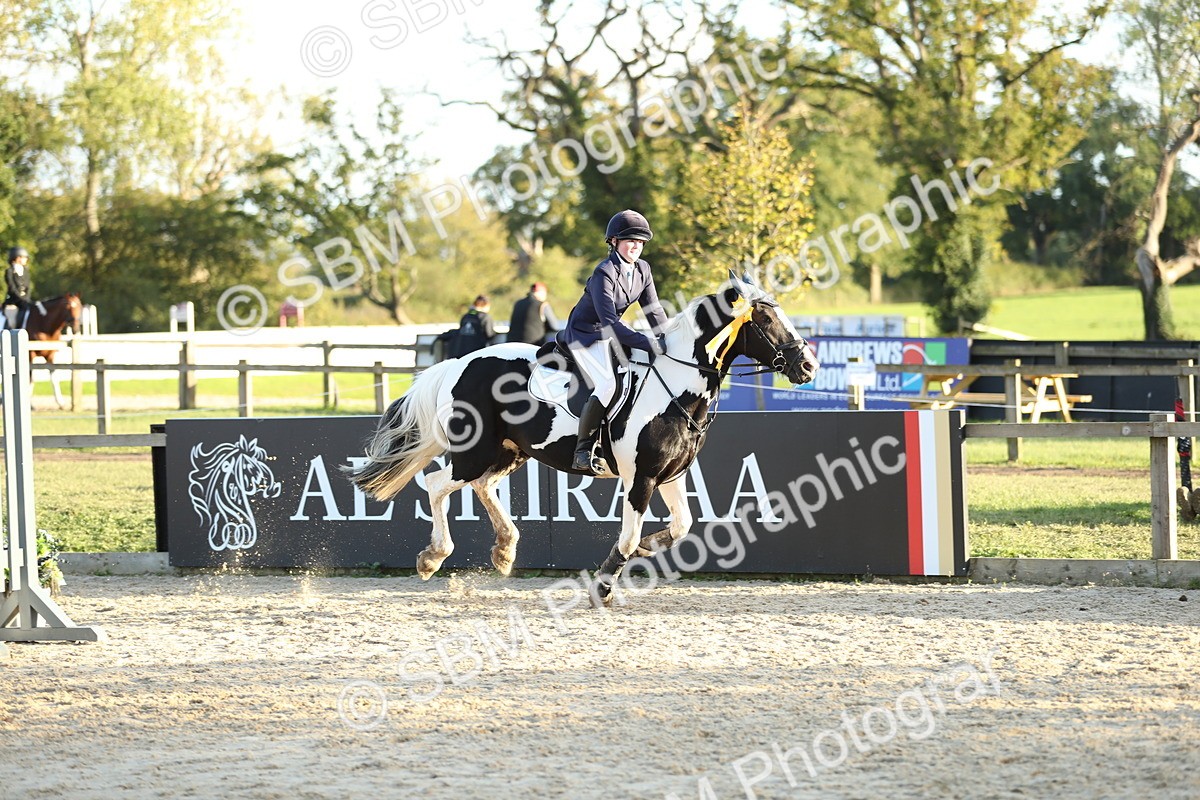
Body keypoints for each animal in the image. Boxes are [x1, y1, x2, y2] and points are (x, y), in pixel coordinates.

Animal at [347, 271, 818, 605]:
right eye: (766, 318)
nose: (808, 366)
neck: (676, 385)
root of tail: (457, 363)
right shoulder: (640, 479)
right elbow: (627, 537)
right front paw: (604, 587)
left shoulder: (670, 476)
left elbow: (680, 526)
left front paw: (647, 547)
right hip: (474, 452)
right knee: (437, 484)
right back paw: (433, 557)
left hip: (510, 452)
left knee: (482, 485)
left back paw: (505, 550)